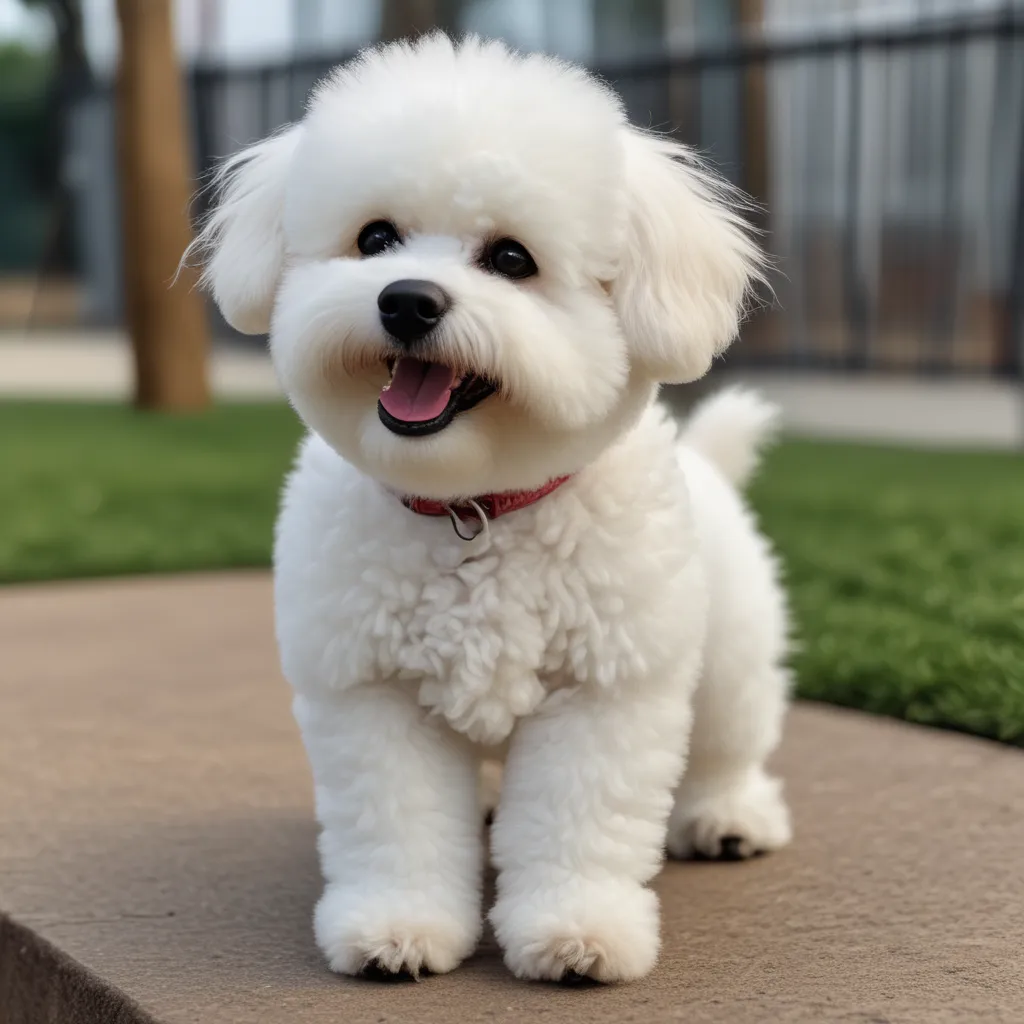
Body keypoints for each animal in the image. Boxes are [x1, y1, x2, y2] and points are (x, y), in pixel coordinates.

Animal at [193, 34, 790, 983]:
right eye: (375, 238)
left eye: (512, 259)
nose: (406, 299)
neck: (473, 506)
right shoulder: (374, 696)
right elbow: (398, 825)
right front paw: (397, 926)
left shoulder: (601, 693)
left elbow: (579, 825)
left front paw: (577, 931)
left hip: (729, 655)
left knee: (731, 740)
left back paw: (728, 816)